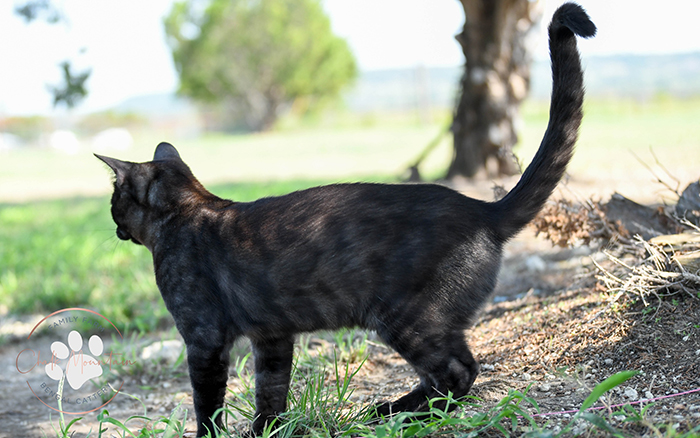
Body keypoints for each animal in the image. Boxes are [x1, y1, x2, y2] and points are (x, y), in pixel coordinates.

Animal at [95, 2, 592, 434]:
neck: (188, 207)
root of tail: (484, 209)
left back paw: (397, 414)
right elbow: (270, 391)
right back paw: (392, 410)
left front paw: (214, 436)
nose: (113, 224)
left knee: (458, 372)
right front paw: (265, 431)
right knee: (452, 372)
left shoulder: (204, 340)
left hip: (407, 318)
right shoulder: (272, 337)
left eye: (114, 200)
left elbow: (207, 404)